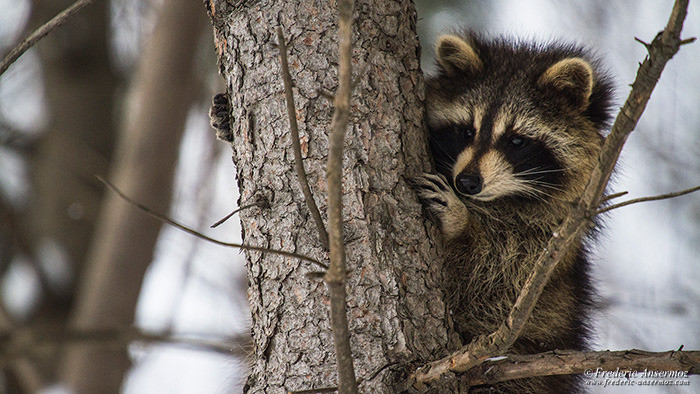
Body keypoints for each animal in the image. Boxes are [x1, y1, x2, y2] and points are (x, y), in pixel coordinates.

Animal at [416, 32, 612, 392]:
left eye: (516, 141)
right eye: (467, 131)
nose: (466, 183)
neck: (497, 200)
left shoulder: (542, 248)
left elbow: (484, 276)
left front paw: (460, 224)